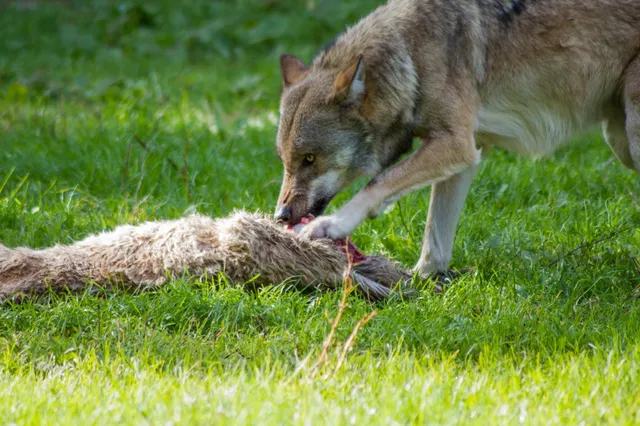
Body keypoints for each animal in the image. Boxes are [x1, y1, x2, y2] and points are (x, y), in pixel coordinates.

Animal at [274, 0, 640, 278]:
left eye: (310, 159)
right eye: (285, 161)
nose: (280, 216)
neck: (412, 54)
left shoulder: (455, 144)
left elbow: (377, 184)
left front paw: (331, 226)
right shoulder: (465, 155)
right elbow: (435, 237)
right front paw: (420, 281)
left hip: (628, 139)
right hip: (619, 139)